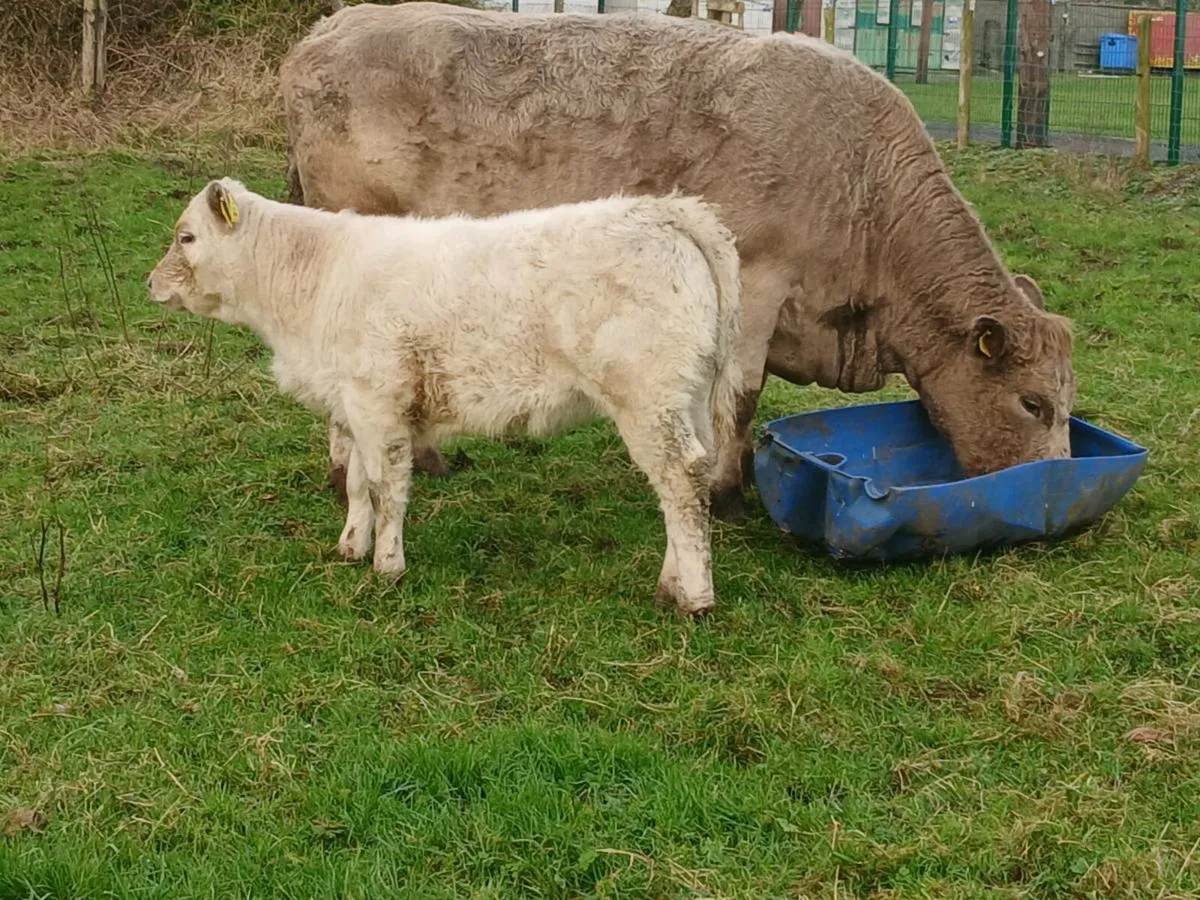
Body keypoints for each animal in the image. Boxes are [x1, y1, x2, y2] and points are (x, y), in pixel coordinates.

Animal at [146, 178, 743, 617]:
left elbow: (387, 488)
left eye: (186, 237)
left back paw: (694, 598)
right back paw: (671, 583)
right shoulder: (354, 405)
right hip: (685, 397)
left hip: (646, 400)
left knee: (679, 483)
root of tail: (663, 210)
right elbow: (358, 483)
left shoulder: (377, 402)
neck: (316, 278)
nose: (151, 283)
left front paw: (387, 567)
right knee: (689, 478)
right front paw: (350, 548)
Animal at [279, 3, 1077, 523]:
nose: (1057, 485)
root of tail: (329, 30)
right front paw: (726, 492)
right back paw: (352, 474)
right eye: (1033, 403)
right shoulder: (756, 278)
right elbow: (741, 394)